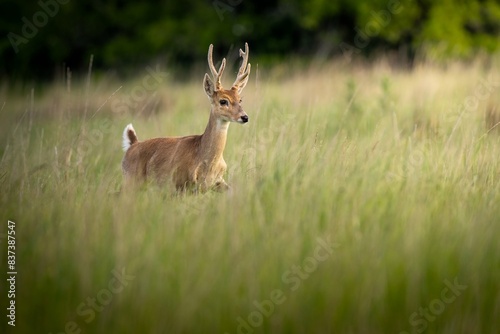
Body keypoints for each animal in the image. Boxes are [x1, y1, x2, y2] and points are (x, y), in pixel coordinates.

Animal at [119, 43, 252, 193]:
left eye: (240, 100)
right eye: (223, 101)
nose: (244, 117)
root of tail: (132, 145)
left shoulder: (218, 182)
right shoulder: (181, 184)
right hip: (131, 180)